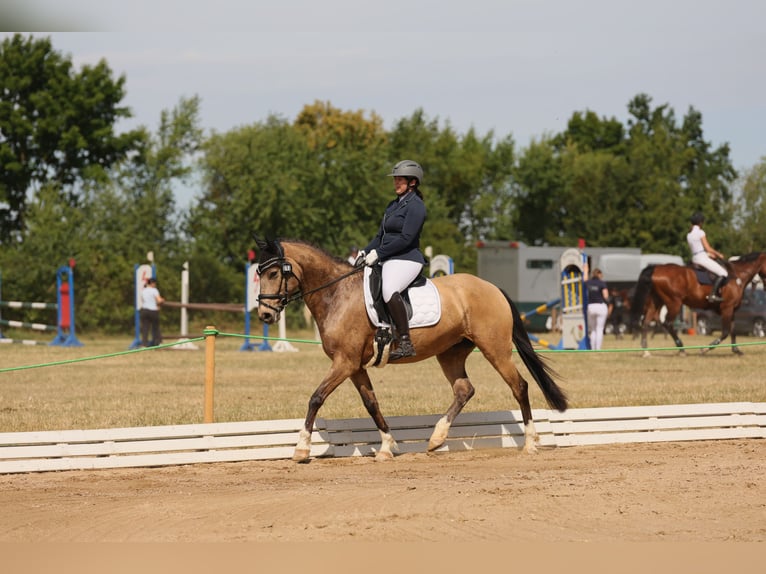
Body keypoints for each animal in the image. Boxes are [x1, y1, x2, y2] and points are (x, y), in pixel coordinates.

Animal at [254, 237, 568, 463]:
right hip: (450, 353)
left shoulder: (344, 363)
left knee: (519, 386)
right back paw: (436, 439)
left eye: (274, 272)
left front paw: (301, 448)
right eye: (259, 273)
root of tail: (492, 287)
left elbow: (316, 398)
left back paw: (530, 443)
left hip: (495, 348)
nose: (265, 315)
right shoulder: (354, 366)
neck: (337, 294)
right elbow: (371, 404)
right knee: (464, 390)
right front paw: (386, 446)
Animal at [630, 252, 766, 357]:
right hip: (674, 303)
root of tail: (656, 268)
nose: (761, 284)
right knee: (667, 323)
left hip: (656, 301)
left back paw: (646, 351)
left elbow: (733, 330)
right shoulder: (727, 308)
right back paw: (681, 349)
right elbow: (725, 332)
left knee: (645, 322)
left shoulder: (731, 309)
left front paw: (736, 350)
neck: (737, 276)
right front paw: (705, 349)